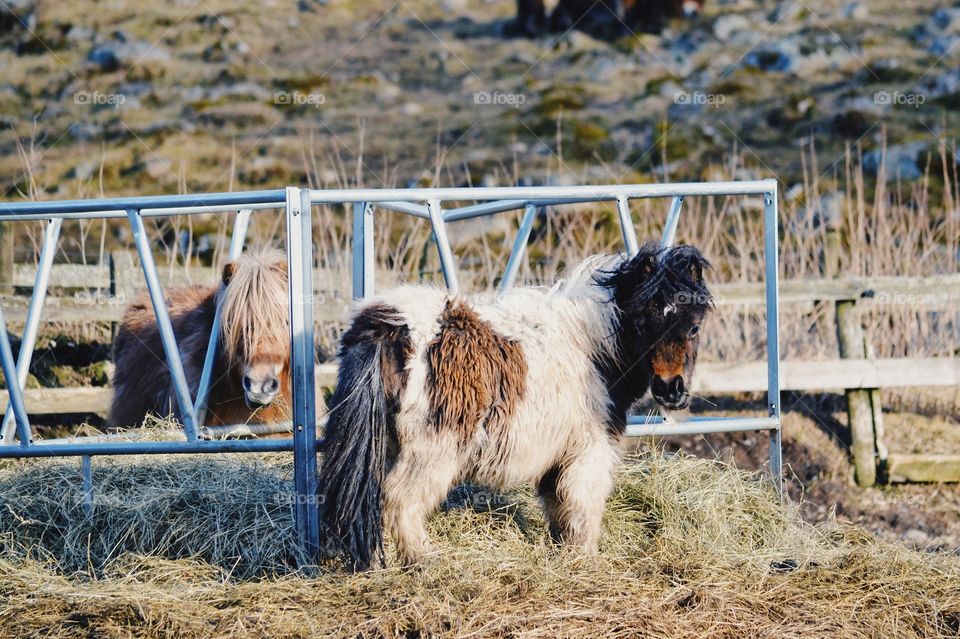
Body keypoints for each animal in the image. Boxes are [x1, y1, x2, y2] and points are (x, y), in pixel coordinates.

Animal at [317, 242, 713, 570]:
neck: (591, 347)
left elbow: (559, 507)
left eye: (694, 327)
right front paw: (587, 560)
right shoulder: (588, 450)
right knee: (398, 502)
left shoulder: (559, 456)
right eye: (643, 321)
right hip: (432, 451)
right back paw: (424, 560)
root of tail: (392, 327)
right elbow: (583, 507)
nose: (671, 389)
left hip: (385, 446)